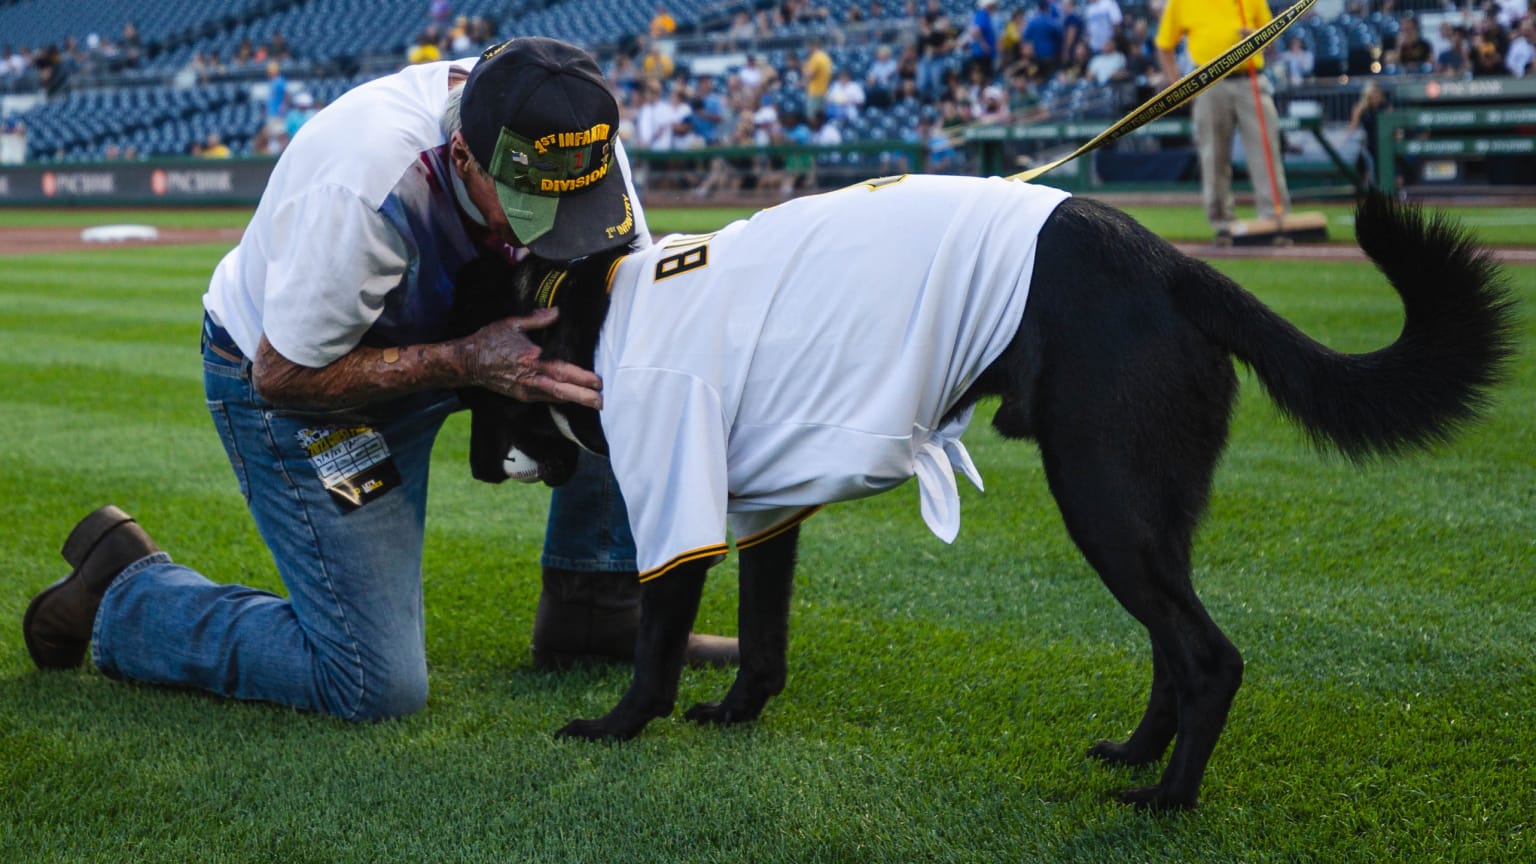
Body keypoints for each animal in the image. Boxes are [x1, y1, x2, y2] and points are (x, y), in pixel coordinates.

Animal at [466, 176, 1511, 805]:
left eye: (479, 382)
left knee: (1208, 656)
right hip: (1147, 512)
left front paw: (612, 729)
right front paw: (733, 715)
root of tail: (1175, 263)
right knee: (1172, 649)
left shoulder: (680, 497)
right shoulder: (769, 509)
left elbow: (655, 648)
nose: (472, 469)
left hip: (1099, 496)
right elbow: (763, 640)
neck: (595, 308)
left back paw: (1164, 800)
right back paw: (1138, 756)